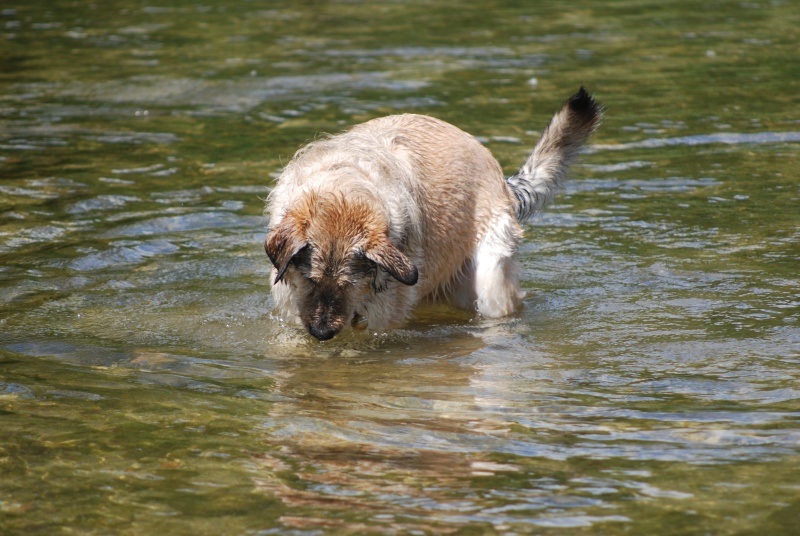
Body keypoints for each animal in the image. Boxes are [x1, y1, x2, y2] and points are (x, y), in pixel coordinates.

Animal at [266, 87, 604, 340]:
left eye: (348, 285)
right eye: (309, 280)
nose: (321, 333)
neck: (341, 187)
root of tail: (503, 182)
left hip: (489, 284)